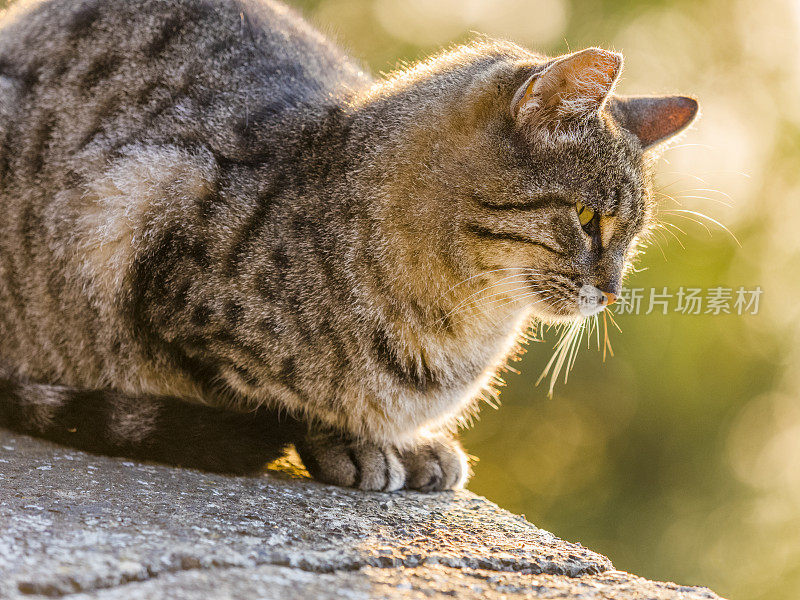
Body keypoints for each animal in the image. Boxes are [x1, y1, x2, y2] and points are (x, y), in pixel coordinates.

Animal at [0, 0, 692, 490]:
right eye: (588, 217)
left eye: (633, 236)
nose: (613, 292)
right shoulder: (142, 221)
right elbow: (277, 398)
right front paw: (353, 446)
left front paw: (415, 445)